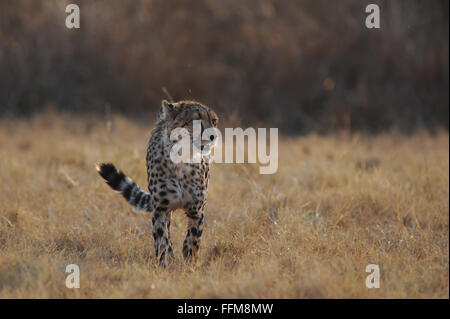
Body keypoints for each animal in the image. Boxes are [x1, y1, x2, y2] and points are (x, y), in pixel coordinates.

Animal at [96, 100, 220, 268]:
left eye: (214, 121)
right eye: (196, 120)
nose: (213, 136)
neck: (182, 159)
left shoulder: (197, 210)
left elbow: (192, 240)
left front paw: (190, 264)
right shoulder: (161, 209)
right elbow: (162, 241)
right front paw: (163, 266)